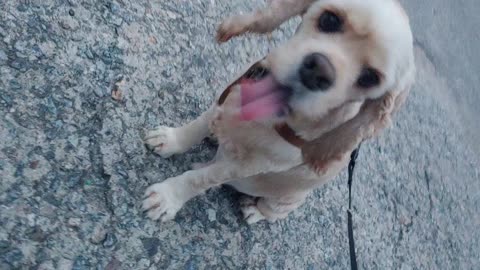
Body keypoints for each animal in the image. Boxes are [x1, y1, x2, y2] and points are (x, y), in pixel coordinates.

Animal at [141, 0, 414, 224]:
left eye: (369, 78)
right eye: (330, 19)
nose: (318, 71)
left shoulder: (247, 166)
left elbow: (200, 179)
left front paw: (166, 198)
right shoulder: (231, 95)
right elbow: (197, 127)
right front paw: (170, 140)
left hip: (285, 201)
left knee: (270, 213)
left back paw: (255, 211)